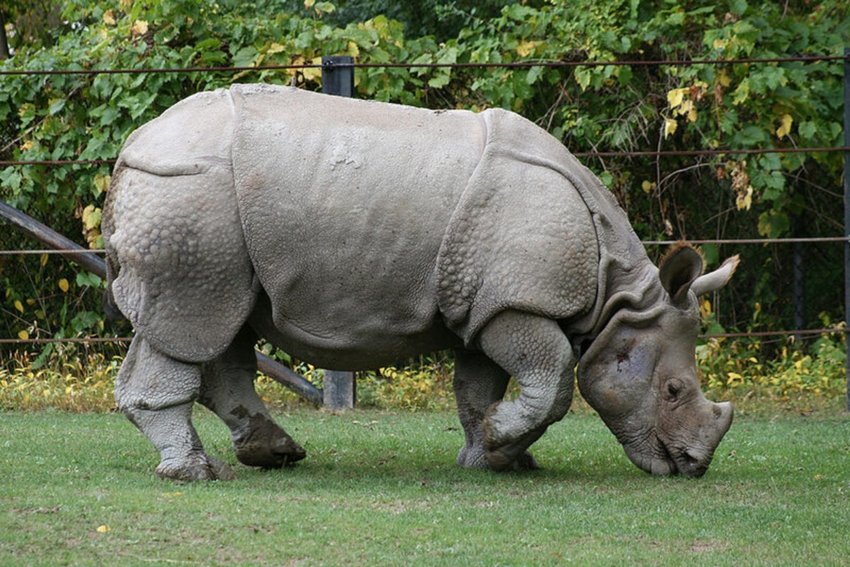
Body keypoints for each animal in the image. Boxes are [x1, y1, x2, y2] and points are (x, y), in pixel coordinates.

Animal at [103, 84, 736, 481]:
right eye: (673, 390)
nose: (692, 467)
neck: (617, 294)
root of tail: (134, 145)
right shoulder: (516, 302)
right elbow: (553, 378)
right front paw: (503, 444)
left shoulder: (485, 303)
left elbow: (478, 387)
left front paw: (493, 455)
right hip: (189, 197)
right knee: (192, 320)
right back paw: (195, 473)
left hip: (202, 213)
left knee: (220, 325)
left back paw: (274, 453)